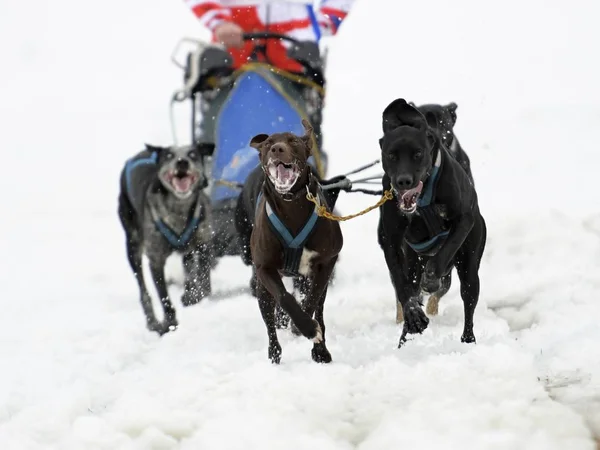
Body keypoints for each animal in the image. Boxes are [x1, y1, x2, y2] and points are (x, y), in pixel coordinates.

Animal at [117, 142, 213, 336]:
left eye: (192, 154)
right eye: (169, 156)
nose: (182, 162)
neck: (179, 210)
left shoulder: (203, 244)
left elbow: (203, 279)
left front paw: (193, 295)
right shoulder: (155, 260)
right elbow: (164, 297)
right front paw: (169, 324)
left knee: (189, 267)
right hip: (133, 248)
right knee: (143, 290)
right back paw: (152, 321)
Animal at [248, 120, 342, 366]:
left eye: (293, 141)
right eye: (268, 143)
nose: (277, 149)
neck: (292, 206)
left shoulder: (327, 261)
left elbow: (313, 298)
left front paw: (305, 329)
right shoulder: (265, 268)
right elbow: (285, 297)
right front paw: (305, 327)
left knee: (319, 307)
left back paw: (320, 351)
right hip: (262, 291)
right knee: (270, 322)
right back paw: (274, 353)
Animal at [380, 97, 488, 344]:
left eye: (418, 153)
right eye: (391, 155)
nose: (403, 181)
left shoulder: (464, 219)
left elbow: (445, 250)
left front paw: (431, 279)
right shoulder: (390, 240)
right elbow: (402, 286)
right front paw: (412, 314)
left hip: (470, 264)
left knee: (469, 297)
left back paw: (468, 340)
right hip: (412, 260)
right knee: (410, 285)